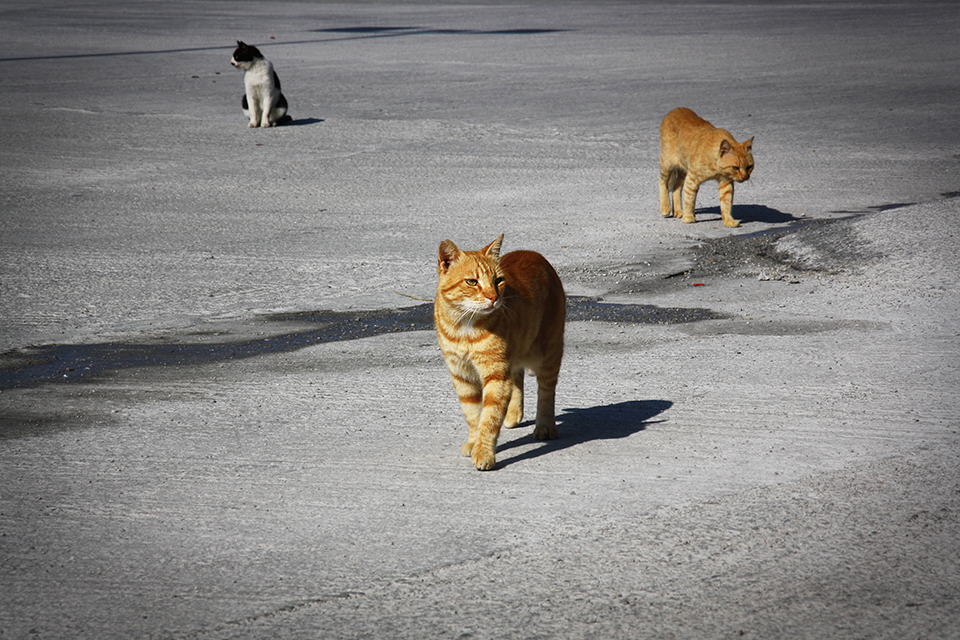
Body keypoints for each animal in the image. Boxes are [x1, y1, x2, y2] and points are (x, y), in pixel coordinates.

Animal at [434, 235, 564, 470]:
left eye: (498, 281)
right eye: (472, 282)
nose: (493, 297)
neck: (465, 328)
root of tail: (534, 253)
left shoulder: (495, 375)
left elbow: (489, 418)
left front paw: (483, 452)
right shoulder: (461, 374)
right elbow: (473, 414)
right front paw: (474, 441)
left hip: (548, 352)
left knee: (546, 391)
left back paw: (545, 425)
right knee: (518, 375)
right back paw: (514, 413)